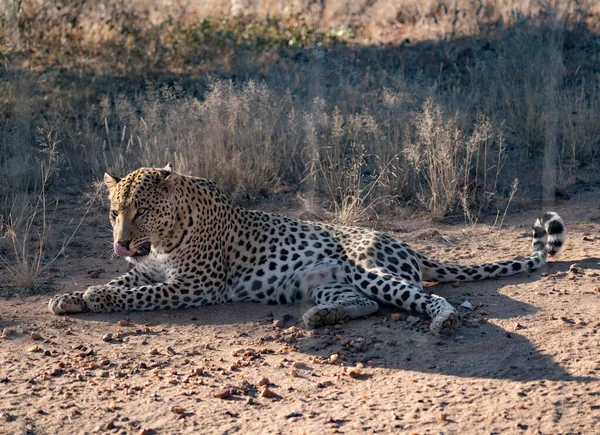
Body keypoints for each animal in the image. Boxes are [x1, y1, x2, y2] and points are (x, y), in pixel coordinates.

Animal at [48, 165, 568, 336]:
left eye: (141, 211)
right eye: (114, 211)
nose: (119, 241)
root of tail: (404, 242)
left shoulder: (193, 286)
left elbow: (135, 294)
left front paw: (96, 298)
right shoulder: (149, 270)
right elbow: (123, 280)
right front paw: (69, 297)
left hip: (372, 269)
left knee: (428, 297)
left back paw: (444, 321)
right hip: (327, 284)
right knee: (365, 304)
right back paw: (319, 318)